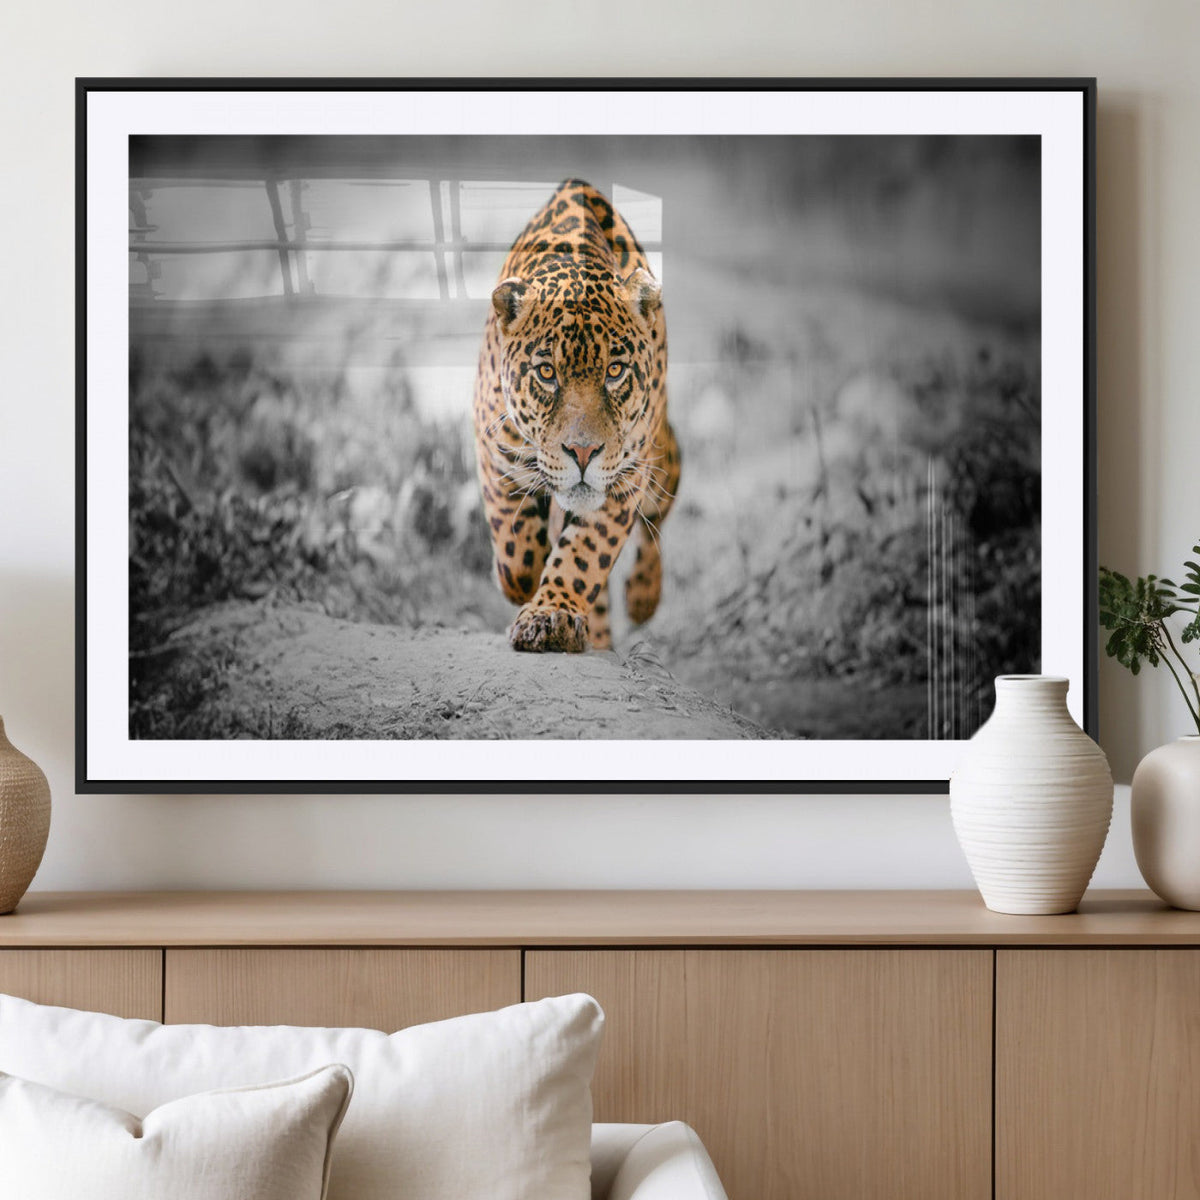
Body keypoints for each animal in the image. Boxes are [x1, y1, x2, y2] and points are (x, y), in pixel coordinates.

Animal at [472, 179, 680, 653]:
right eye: (547, 373)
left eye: (615, 371)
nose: (583, 453)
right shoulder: (494, 451)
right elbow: (515, 549)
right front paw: (522, 582)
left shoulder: (625, 476)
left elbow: (584, 555)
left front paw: (551, 615)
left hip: (662, 459)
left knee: (657, 521)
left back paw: (642, 598)